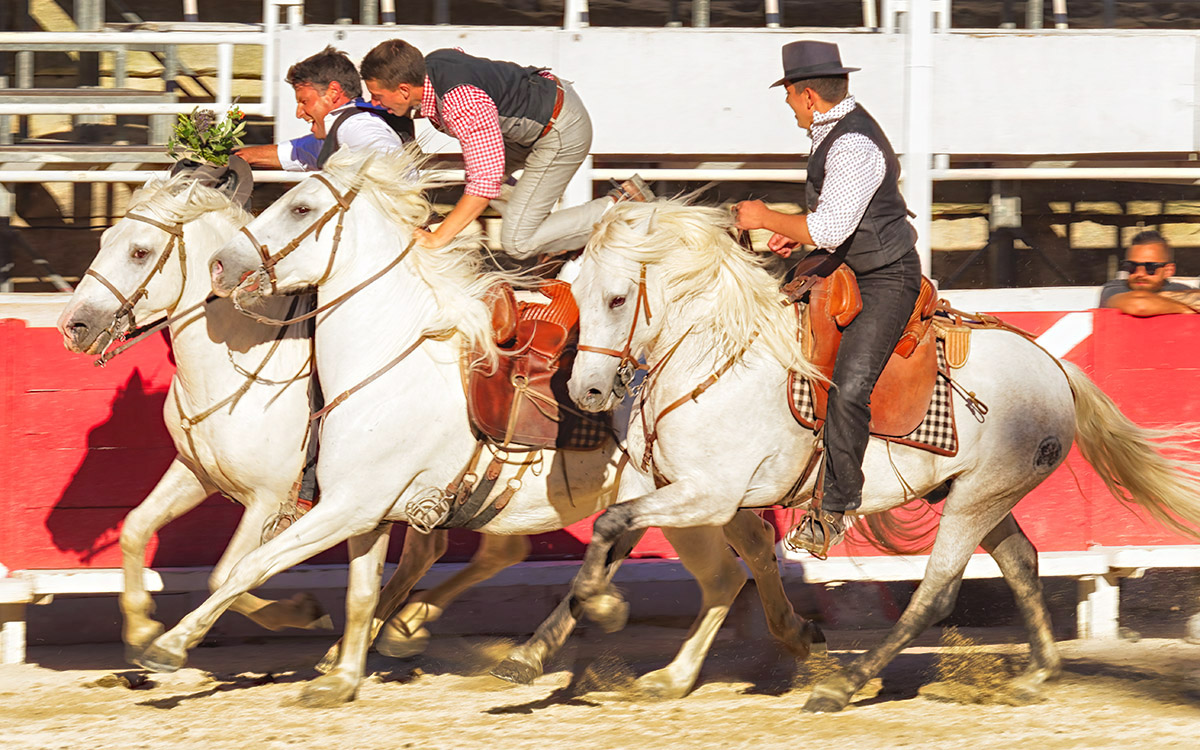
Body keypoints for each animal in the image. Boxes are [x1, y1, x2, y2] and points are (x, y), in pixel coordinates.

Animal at [129, 147, 825, 705]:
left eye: (301, 208)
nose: (223, 265)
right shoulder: (357, 504)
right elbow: (355, 589)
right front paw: (342, 674)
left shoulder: (330, 501)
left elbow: (248, 567)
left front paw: (169, 645)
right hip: (693, 496)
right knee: (743, 553)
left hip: (691, 496)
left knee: (721, 568)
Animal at [561, 195, 1200, 710]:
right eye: (575, 293)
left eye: (617, 299)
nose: (585, 390)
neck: (716, 356)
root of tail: (1055, 368)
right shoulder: (667, 486)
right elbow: (623, 533)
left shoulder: (710, 494)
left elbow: (617, 525)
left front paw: (606, 609)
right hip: (983, 494)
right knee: (1021, 561)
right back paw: (1037, 674)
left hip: (976, 499)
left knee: (936, 591)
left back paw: (845, 685)